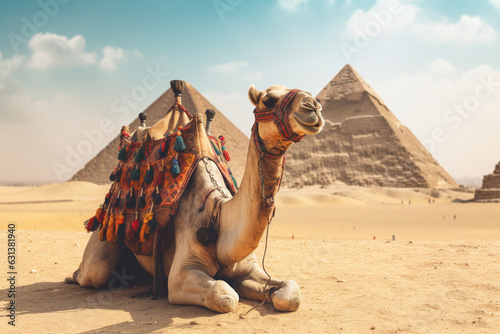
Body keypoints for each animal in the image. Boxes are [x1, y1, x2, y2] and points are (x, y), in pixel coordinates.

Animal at [66, 81, 324, 314]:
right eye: (269, 99)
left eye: (309, 92)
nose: (313, 106)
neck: (217, 212)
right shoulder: (181, 274)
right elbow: (224, 294)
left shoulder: (247, 269)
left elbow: (290, 293)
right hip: (102, 242)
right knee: (93, 271)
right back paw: (73, 277)